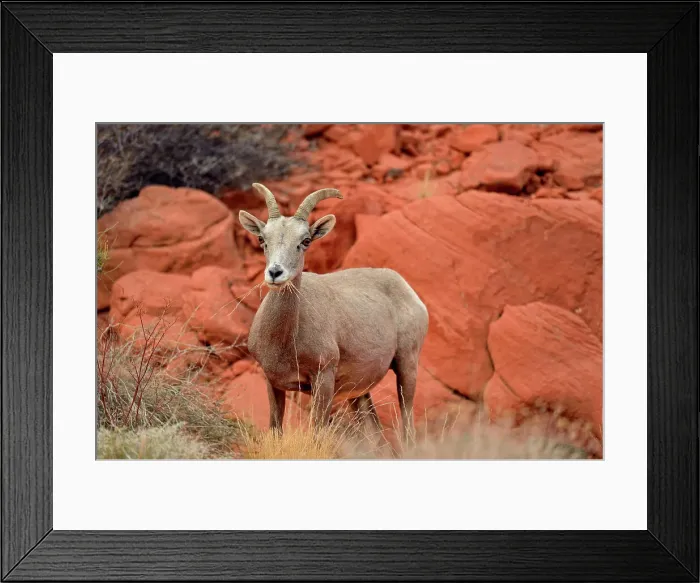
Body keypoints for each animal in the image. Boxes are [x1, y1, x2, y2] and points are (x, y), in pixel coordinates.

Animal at [238, 183, 429, 445]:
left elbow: (317, 433)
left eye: (305, 240)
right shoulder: (272, 382)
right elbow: (275, 429)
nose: (275, 273)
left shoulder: (323, 379)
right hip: (359, 393)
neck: (285, 340)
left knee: (407, 423)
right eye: (262, 239)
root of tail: (407, 290)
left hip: (406, 366)